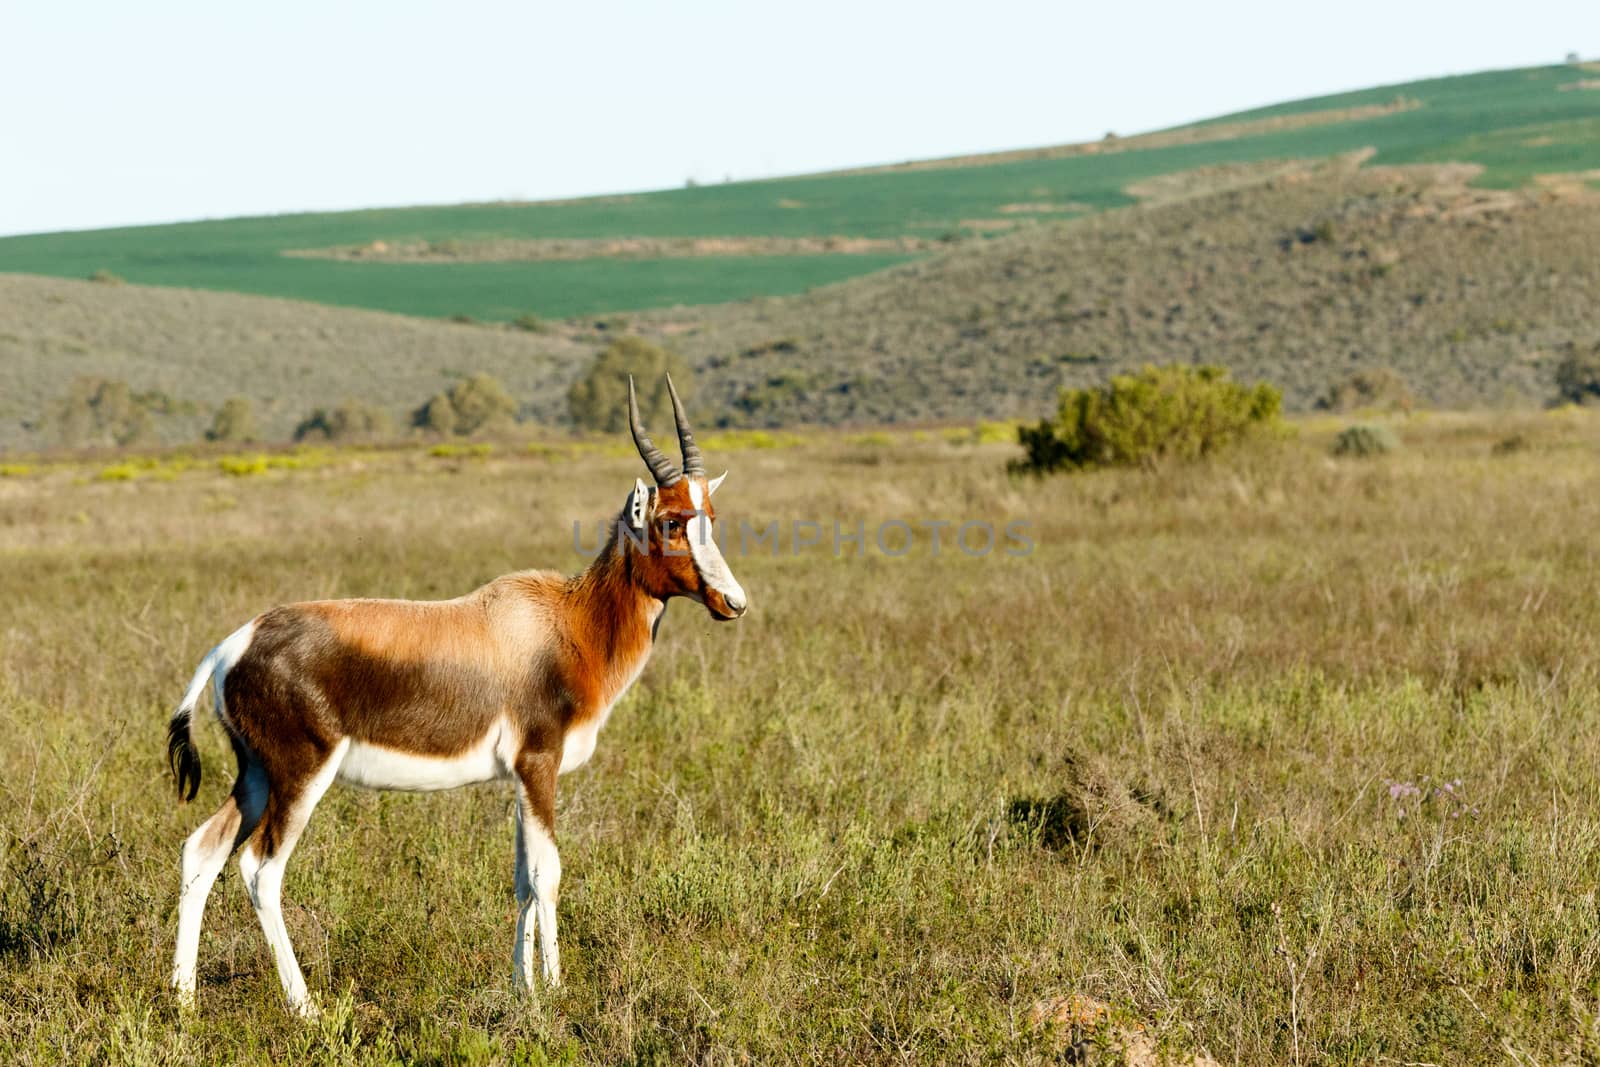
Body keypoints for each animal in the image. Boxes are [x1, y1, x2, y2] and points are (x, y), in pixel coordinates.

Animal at [167, 379, 742, 1017]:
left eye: (710, 518)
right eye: (669, 523)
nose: (732, 602)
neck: (563, 623)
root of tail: (234, 644)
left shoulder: (518, 778)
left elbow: (521, 877)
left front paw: (523, 987)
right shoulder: (540, 766)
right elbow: (548, 873)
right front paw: (556, 993)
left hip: (255, 776)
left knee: (201, 850)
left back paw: (183, 1000)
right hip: (300, 775)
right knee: (261, 869)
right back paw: (306, 1007)